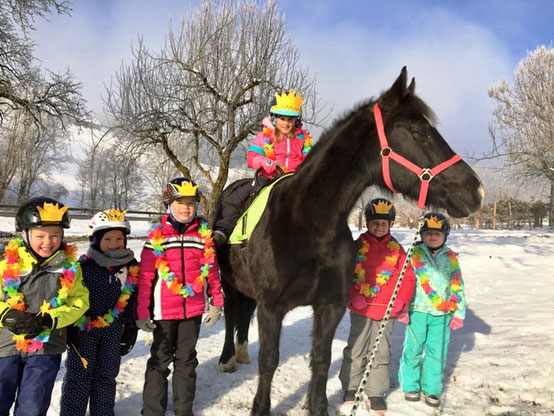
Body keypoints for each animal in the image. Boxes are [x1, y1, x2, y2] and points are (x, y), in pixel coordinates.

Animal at [213, 66, 480, 414]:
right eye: (421, 131)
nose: (475, 190)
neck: (308, 223)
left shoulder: (330, 305)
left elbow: (321, 361)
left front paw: (317, 406)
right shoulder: (272, 307)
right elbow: (269, 361)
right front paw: (260, 407)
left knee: (244, 313)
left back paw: (242, 352)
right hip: (229, 282)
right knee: (233, 313)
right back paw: (228, 358)